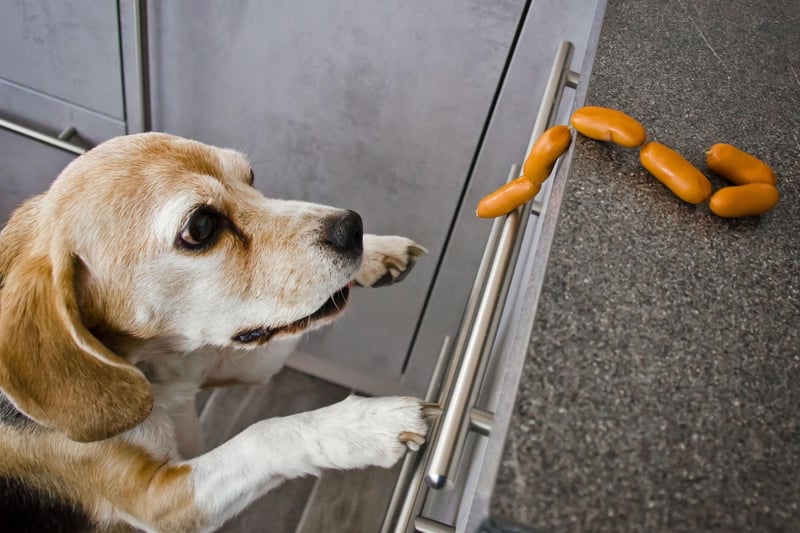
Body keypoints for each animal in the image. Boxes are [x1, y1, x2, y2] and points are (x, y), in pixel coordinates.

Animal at [0, 131, 432, 528]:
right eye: (201, 226)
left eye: (250, 176)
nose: (352, 227)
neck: (154, 364)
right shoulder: (160, 501)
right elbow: (265, 435)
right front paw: (365, 424)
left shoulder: (219, 360)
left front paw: (379, 252)